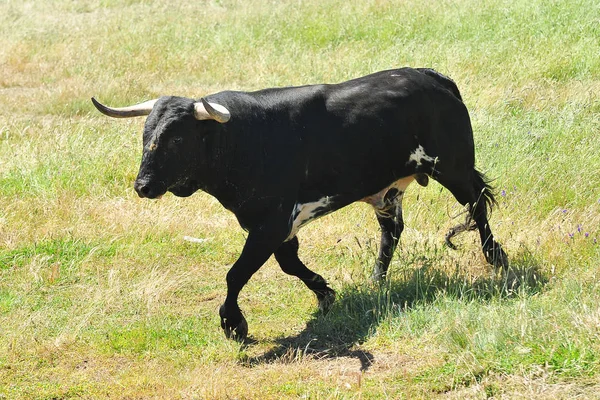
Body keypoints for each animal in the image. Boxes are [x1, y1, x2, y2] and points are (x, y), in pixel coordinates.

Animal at [92, 66, 506, 340]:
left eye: (177, 138)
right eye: (146, 134)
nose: (143, 186)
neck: (242, 138)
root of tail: (434, 77)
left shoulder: (270, 223)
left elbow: (236, 273)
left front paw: (233, 323)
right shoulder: (272, 225)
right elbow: (289, 265)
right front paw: (325, 293)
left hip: (453, 168)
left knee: (477, 206)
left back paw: (495, 257)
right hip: (389, 190)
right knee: (393, 230)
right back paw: (377, 280)